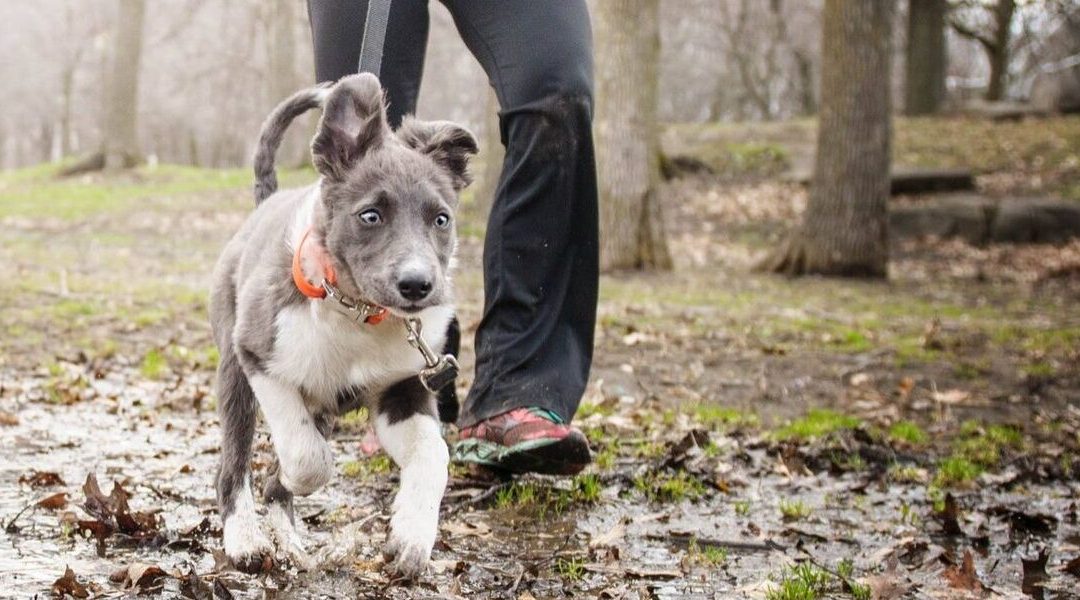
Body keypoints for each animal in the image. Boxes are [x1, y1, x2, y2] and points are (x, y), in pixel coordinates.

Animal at [209, 73, 477, 578]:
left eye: (441, 219)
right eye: (370, 215)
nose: (418, 285)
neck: (358, 313)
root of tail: (265, 203)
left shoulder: (402, 388)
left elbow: (434, 454)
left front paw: (410, 538)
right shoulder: (259, 355)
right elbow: (307, 457)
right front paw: (291, 474)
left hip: (322, 403)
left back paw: (289, 540)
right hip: (235, 373)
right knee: (233, 466)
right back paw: (246, 540)